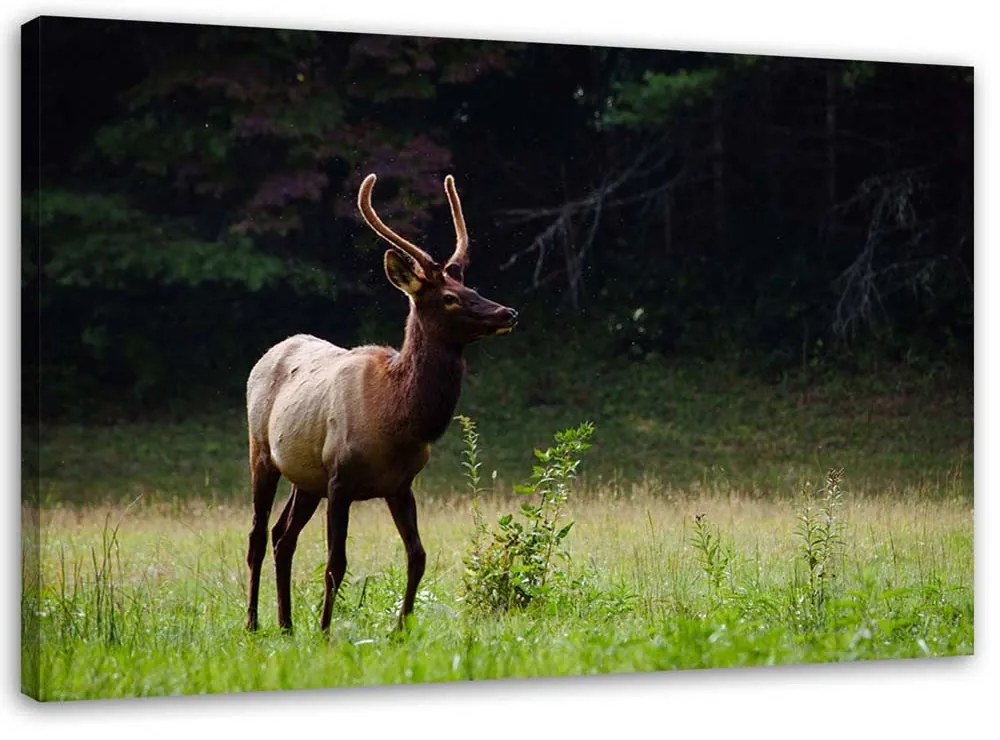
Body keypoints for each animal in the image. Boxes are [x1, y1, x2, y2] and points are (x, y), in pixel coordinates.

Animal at [246, 172, 520, 632]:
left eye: (471, 286)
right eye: (448, 298)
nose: (507, 313)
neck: (396, 420)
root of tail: (268, 353)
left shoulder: (400, 484)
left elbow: (418, 556)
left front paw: (401, 629)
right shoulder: (339, 478)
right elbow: (335, 564)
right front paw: (325, 631)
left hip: (306, 478)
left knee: (283, 536)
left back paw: (285, 625)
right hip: (262, 452)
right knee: (257, 537)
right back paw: (252, 623)